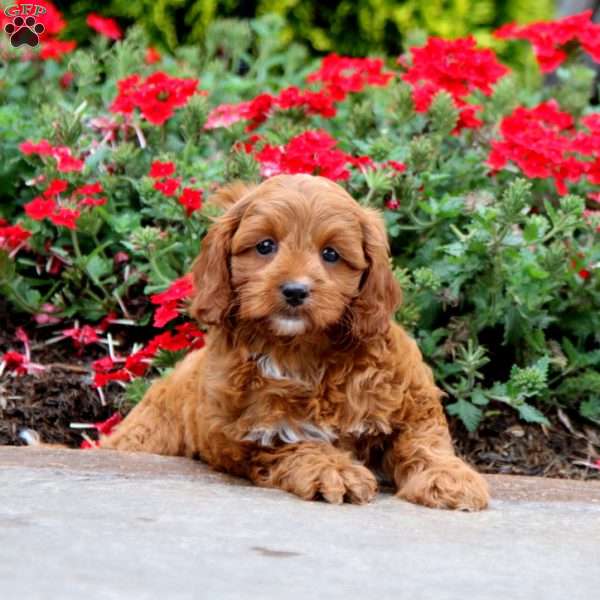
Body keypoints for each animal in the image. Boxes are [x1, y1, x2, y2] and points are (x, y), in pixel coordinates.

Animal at [103, 175, 488, 510]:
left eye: (331, 254)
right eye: (265, 246)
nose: (295, 290)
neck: (302, 349)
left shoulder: (413, 400)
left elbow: (423, 439)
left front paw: (448, 477)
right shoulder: (256, 435)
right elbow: (301, 446)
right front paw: (335, 470)